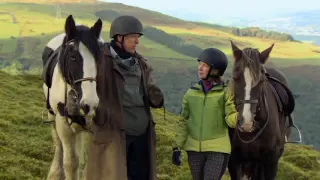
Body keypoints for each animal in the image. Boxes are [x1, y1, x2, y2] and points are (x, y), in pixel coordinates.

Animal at [41, 15, 104, 180]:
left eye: (98, 58)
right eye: (73, 57)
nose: (90, 103)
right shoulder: (63, 124)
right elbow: (71, 163)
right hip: (52, 116)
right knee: (58, 145)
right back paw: (55, 172)